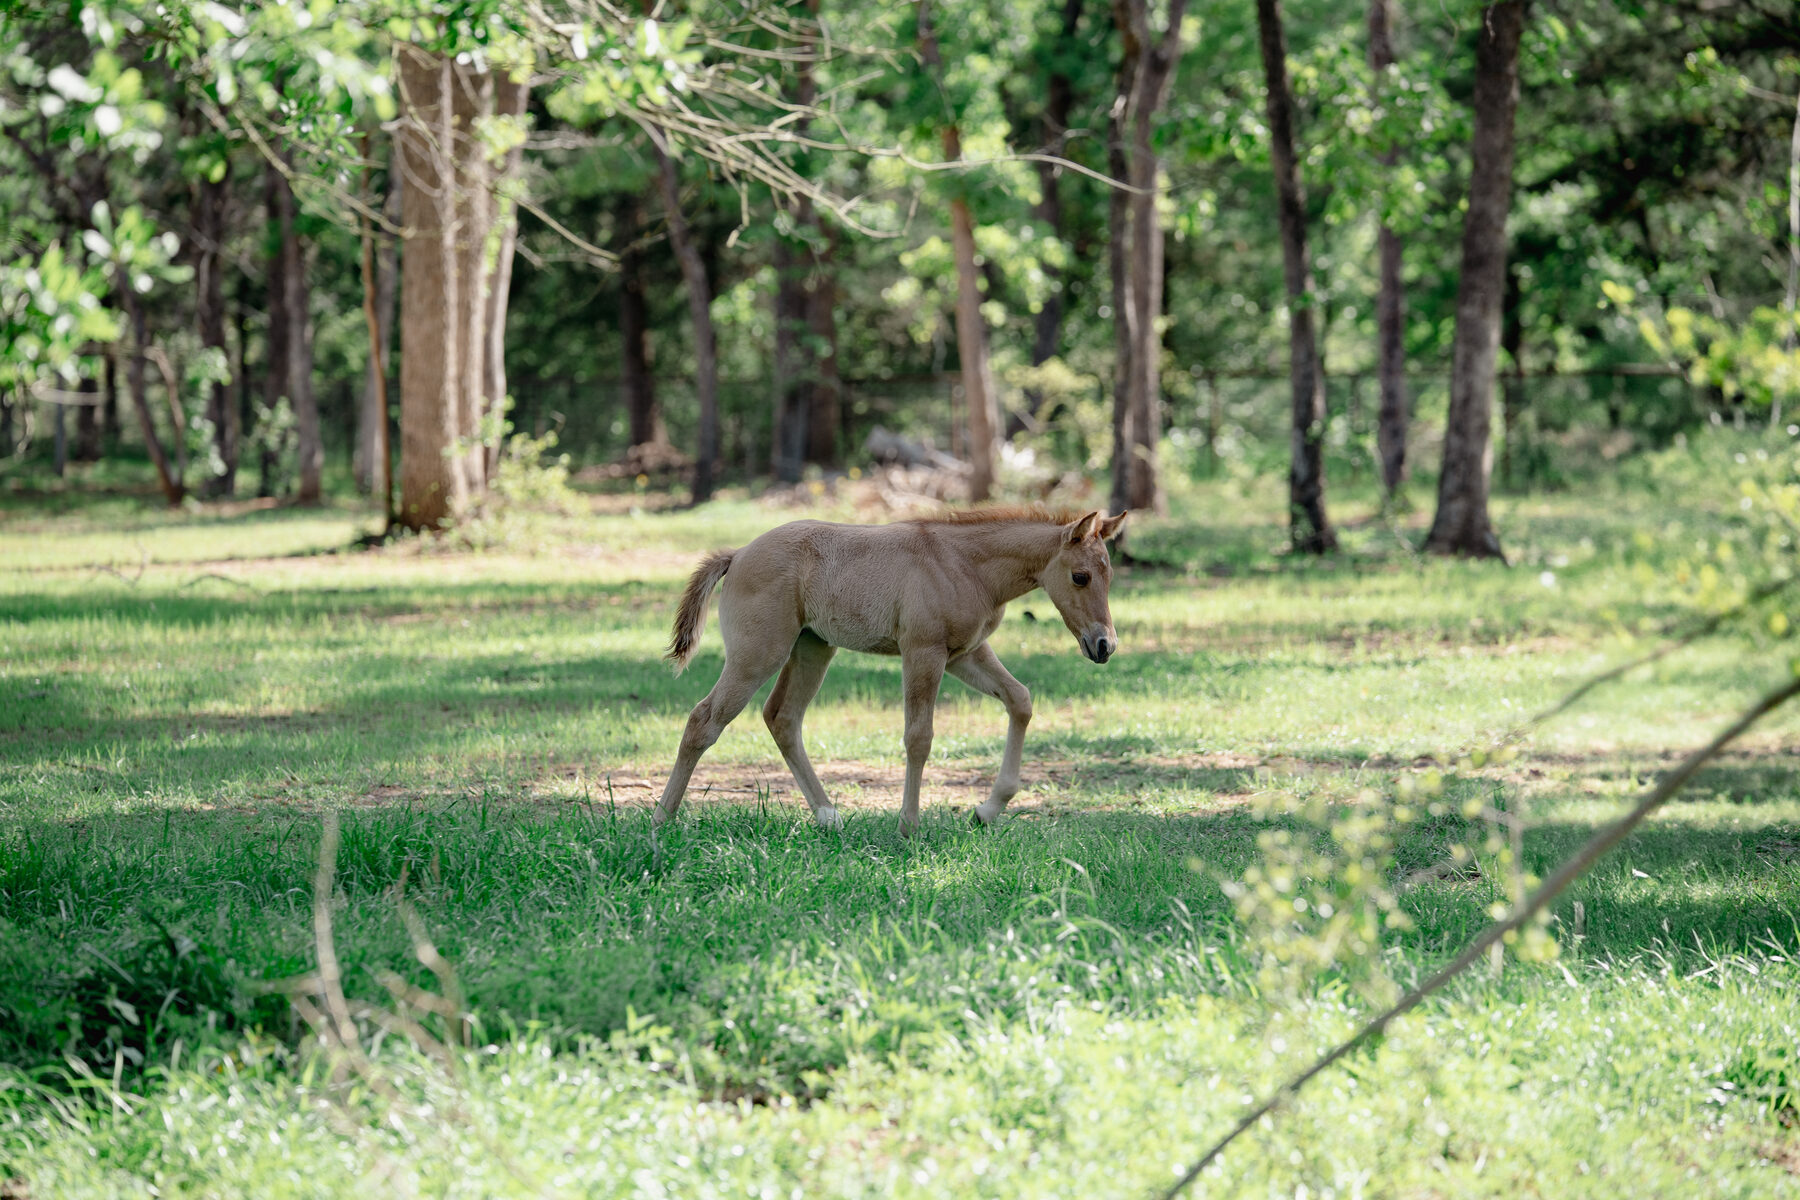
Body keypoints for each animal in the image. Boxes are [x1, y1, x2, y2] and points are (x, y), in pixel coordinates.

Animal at [655, 507, 1127, 834]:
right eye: (1081, 576)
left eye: (1109, 577)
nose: (1104, 645)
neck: (964, 563)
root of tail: (736, 555)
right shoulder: (923, 652)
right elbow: (919, 737)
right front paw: (909, 827)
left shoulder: (966, 653)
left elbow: (1020, 700)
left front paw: (985, 811)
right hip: (757, 654)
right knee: (703, 720)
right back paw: (661, 820)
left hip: (813, 648)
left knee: (782, 718)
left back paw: (828, 816)